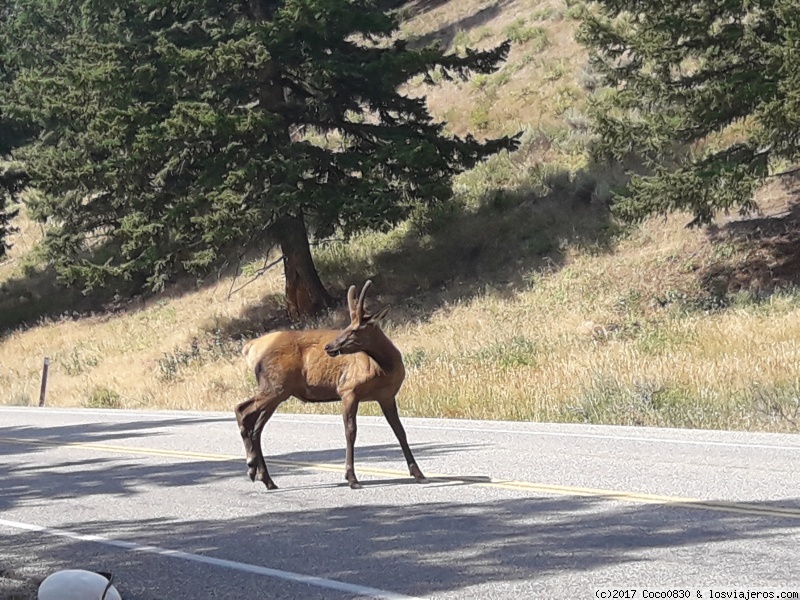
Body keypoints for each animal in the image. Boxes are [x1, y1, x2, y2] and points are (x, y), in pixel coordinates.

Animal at [234, 278, 428, 490]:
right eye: (347, 327)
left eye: (355, 330)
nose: (329, 347)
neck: (384, 368)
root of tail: (250, 348)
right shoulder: (348, 390)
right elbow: (350, 431)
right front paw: (351, 478)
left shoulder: (387, 396)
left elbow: (400, 431)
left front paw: (419, 473)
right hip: (274, 385)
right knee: (242, 409)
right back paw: (251, 465)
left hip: (278, 392)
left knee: (256, 427)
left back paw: (266, 479)